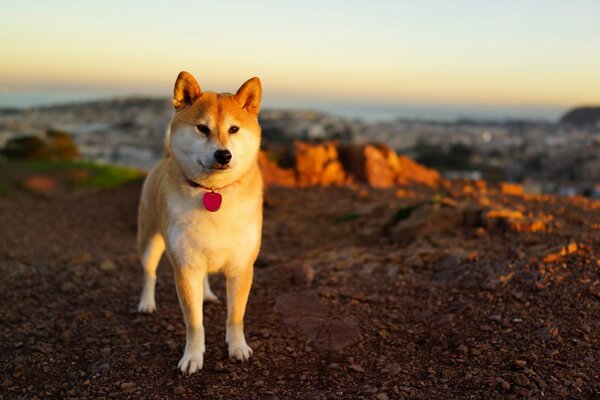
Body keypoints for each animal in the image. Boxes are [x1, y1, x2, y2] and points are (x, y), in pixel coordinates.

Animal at [138, 70, 264, 374]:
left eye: (234, 129)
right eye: (202, 128)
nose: (223, 154)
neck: (213, 192)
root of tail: (164, 159)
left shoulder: (241, 268)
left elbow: (235, 317)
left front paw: (238, 348)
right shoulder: (186, 268)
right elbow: (194, 323)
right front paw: (193, 358)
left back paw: (206, 294)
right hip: (149, 242)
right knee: (149, 274)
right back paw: (146, 303)